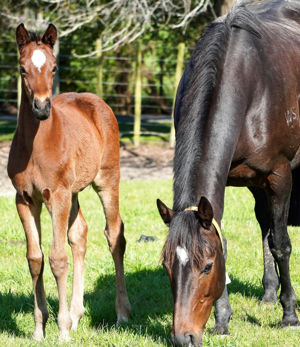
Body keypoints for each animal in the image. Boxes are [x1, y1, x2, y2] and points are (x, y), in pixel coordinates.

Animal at [7, 24, 130, 342]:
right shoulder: (25, 199)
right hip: (74, 192)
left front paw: (61, 330)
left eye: (54, 67)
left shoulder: (57, 196)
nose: (41, 108)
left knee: (115, 235)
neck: (37, 146)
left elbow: (58, 259)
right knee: (80, 233)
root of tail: (96, 101)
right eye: (22, 68)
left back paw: (121, 314)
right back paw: (76, 313)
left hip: (107, 180)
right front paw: (39, 328)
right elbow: (35, 258)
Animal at [156, 0, 300, 346]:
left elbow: (282, 244)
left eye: (207, 267)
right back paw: (268, 293)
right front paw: (222, 319)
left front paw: (290, 314)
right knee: (264, 224)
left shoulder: (279, 176)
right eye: (167, 266)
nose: (183, 337)